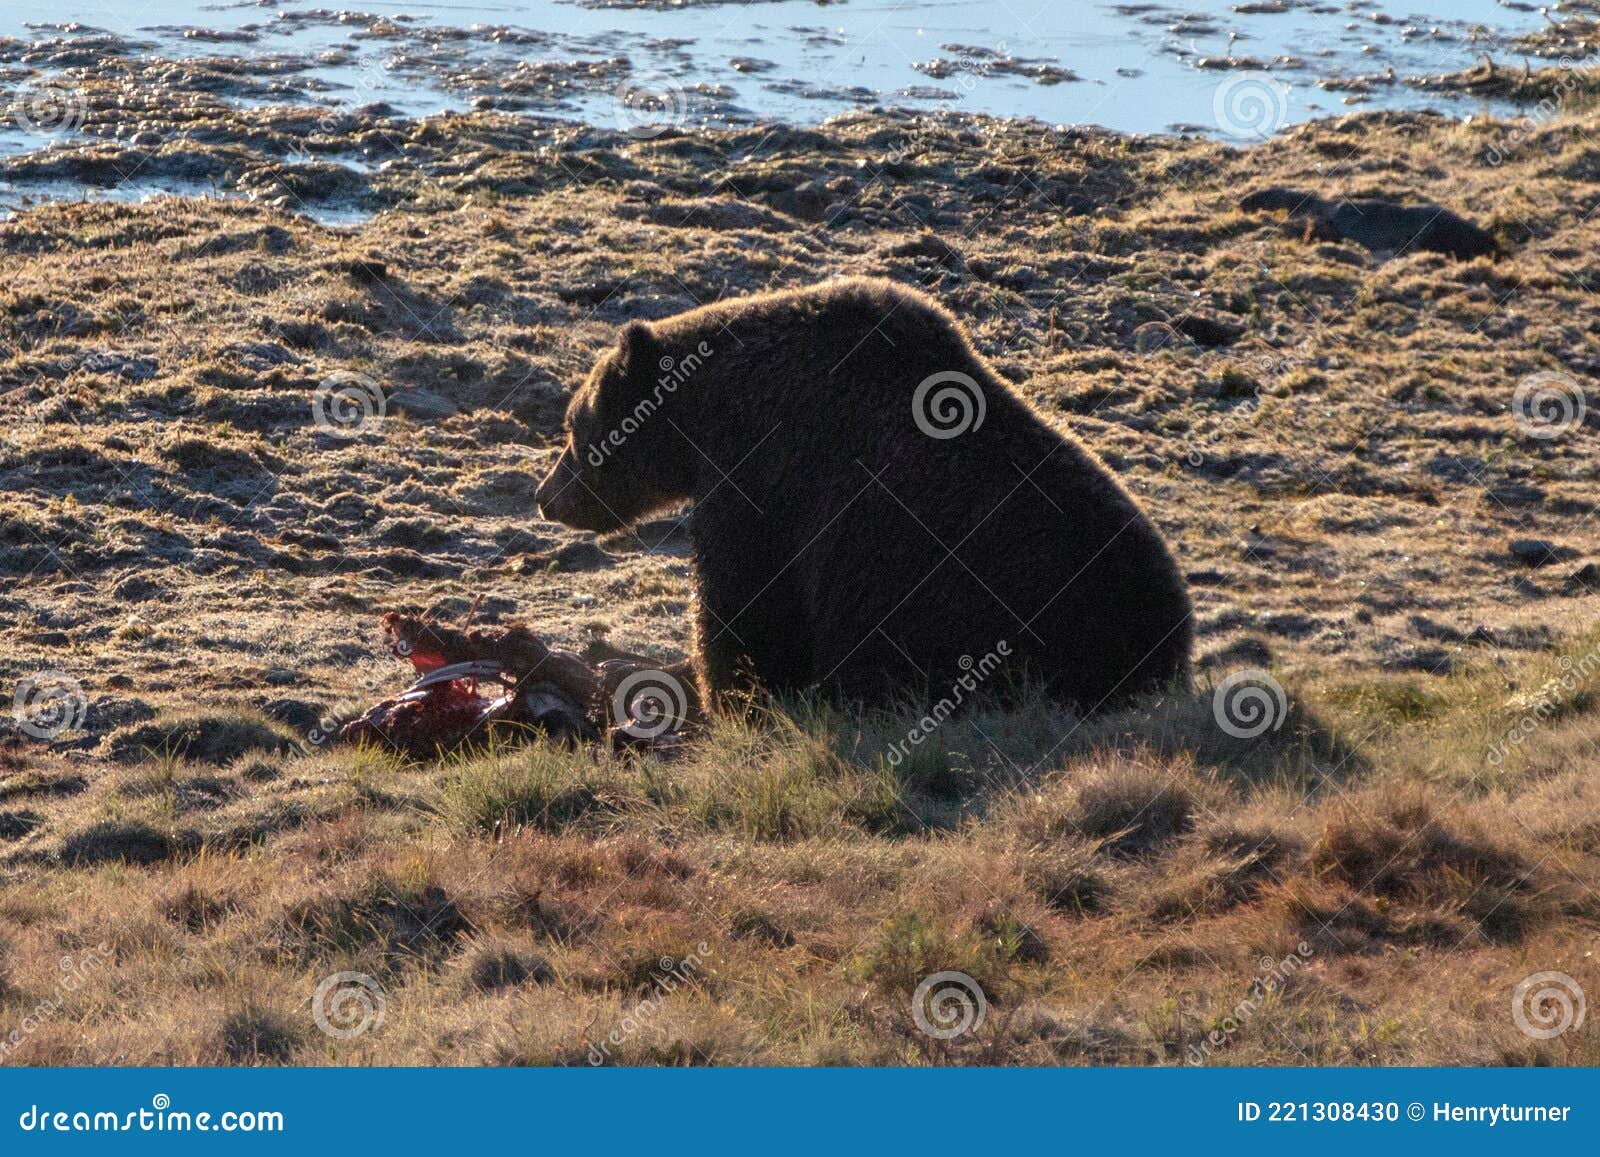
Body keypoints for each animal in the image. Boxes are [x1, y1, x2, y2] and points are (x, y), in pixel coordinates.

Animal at [534, 278, 1190, 713]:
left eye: (573, 429)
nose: (545, 496)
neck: (712, 410)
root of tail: (1166, 641)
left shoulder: (767, 477)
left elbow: (747, 598)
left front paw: (733, 694)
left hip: (989, 603)